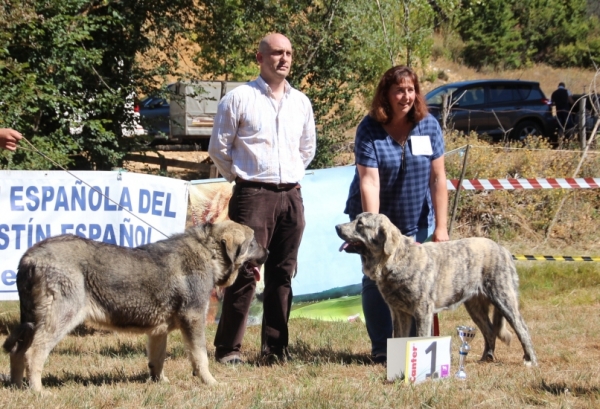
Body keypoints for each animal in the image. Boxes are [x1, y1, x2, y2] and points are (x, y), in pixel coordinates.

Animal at [1, 222, 270, 390]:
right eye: (253, 242)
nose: (268, 252)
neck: (208, 252)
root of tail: (29, 257)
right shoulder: (193, 320)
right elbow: (200, 357)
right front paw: (211, 382)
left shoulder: (159, 331)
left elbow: (157, 360)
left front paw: (160, 383)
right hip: (60, 318)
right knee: (33, 353)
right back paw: (38, 391)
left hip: (33, 321)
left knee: (17, 352)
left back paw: (17, 387)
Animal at [338, 212, 540, 364]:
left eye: (360, 224)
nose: (337, 227)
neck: (397, 259)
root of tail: (503, 250)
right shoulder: (399, 312)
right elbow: (398, 336)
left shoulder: (422, 310)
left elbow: (420, 337)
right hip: (474, 306)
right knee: (489, 331)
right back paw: (485, 358)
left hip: (504, 298)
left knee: (522, 329)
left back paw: (530, 360)